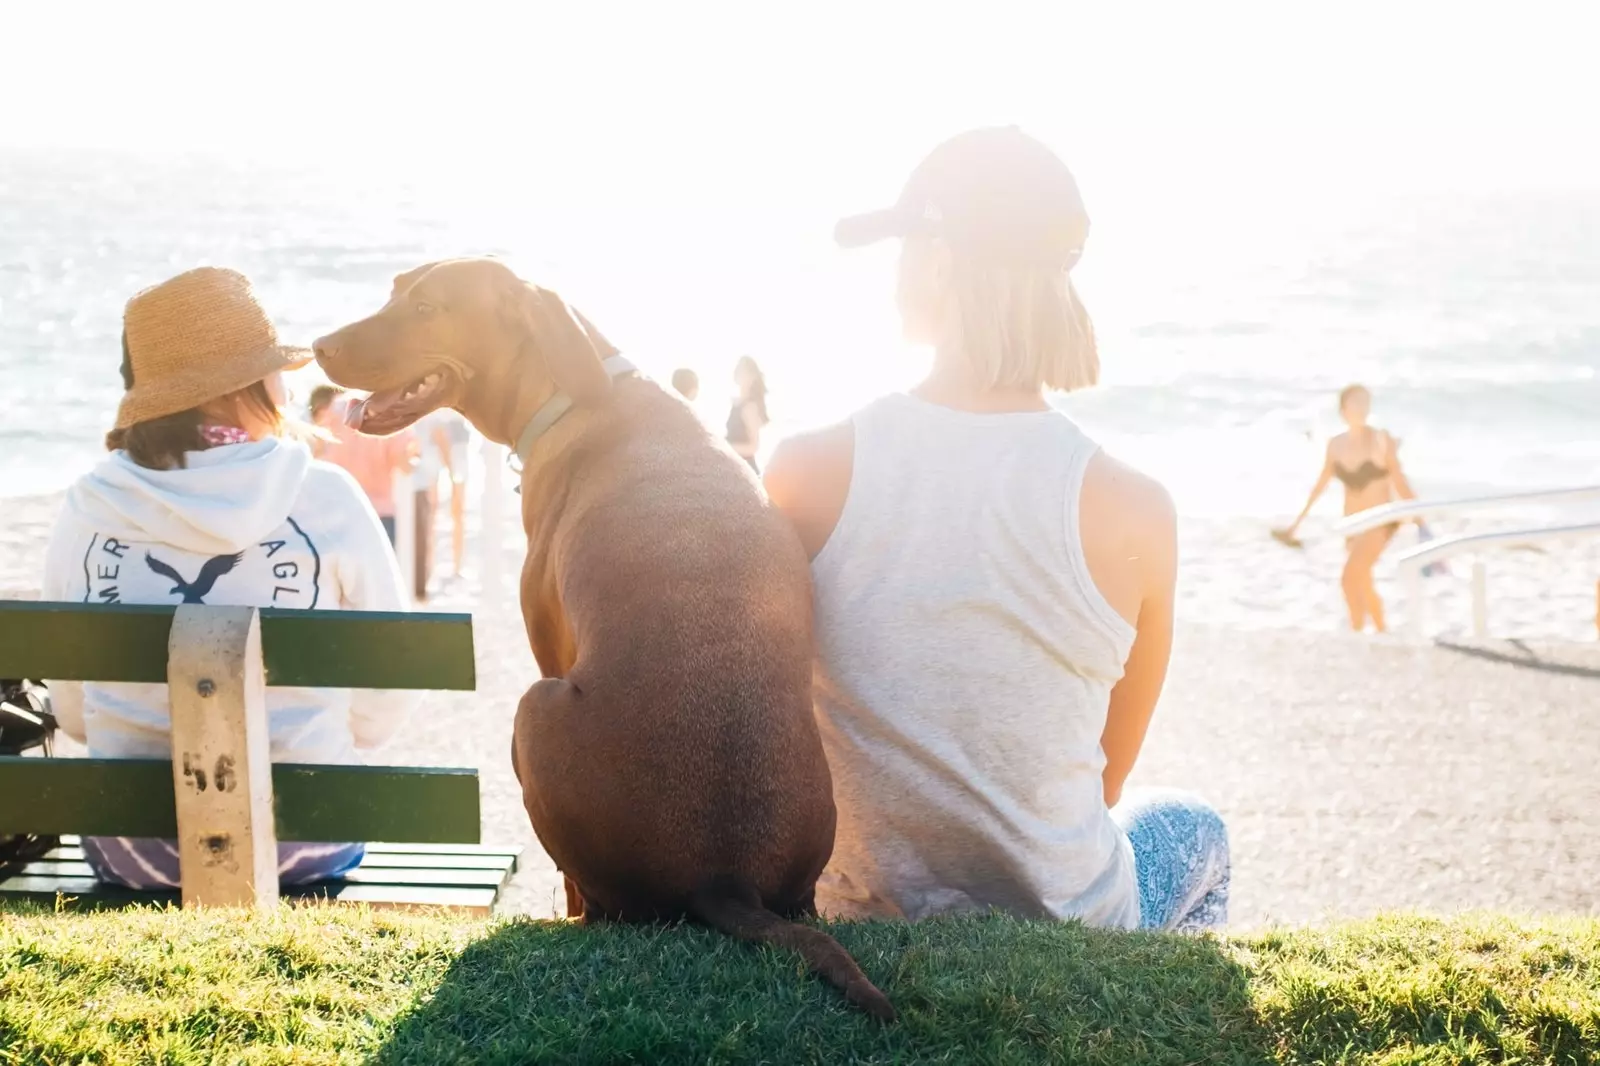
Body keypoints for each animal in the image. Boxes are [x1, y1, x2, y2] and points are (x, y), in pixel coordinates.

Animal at [312, 256, 889, 1011]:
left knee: (595, 901)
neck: (578, 390)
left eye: (429, 306)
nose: (317, 347)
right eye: (393, 292)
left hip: (533, 709)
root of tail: (725, 877)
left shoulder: (548, 645)